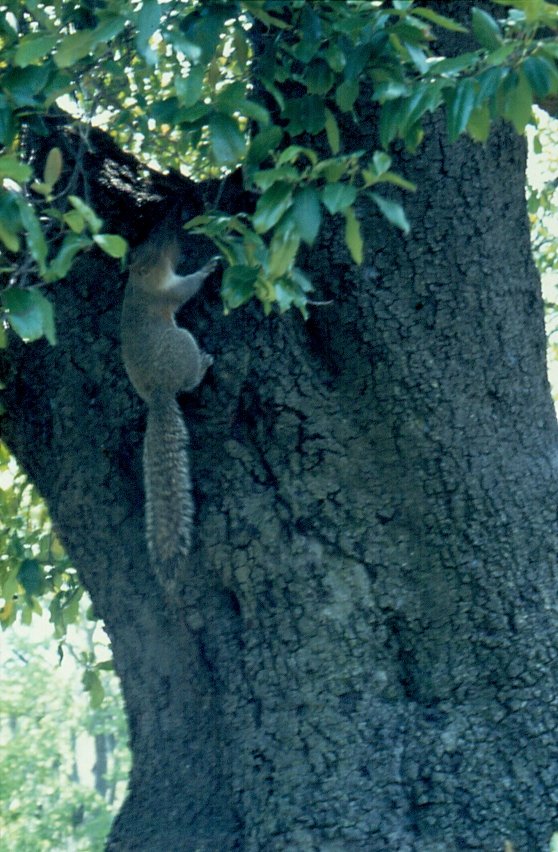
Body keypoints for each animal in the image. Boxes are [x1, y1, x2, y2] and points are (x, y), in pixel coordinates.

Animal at [120, 231, 219, 592]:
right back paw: (202, 366)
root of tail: (159, 394)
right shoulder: (166, 292)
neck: (138, 283)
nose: (175, 242)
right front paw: (207, 268)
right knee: (189, 380)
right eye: (153, 254)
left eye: (147, 245)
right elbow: (187, 288)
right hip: (182, 343)